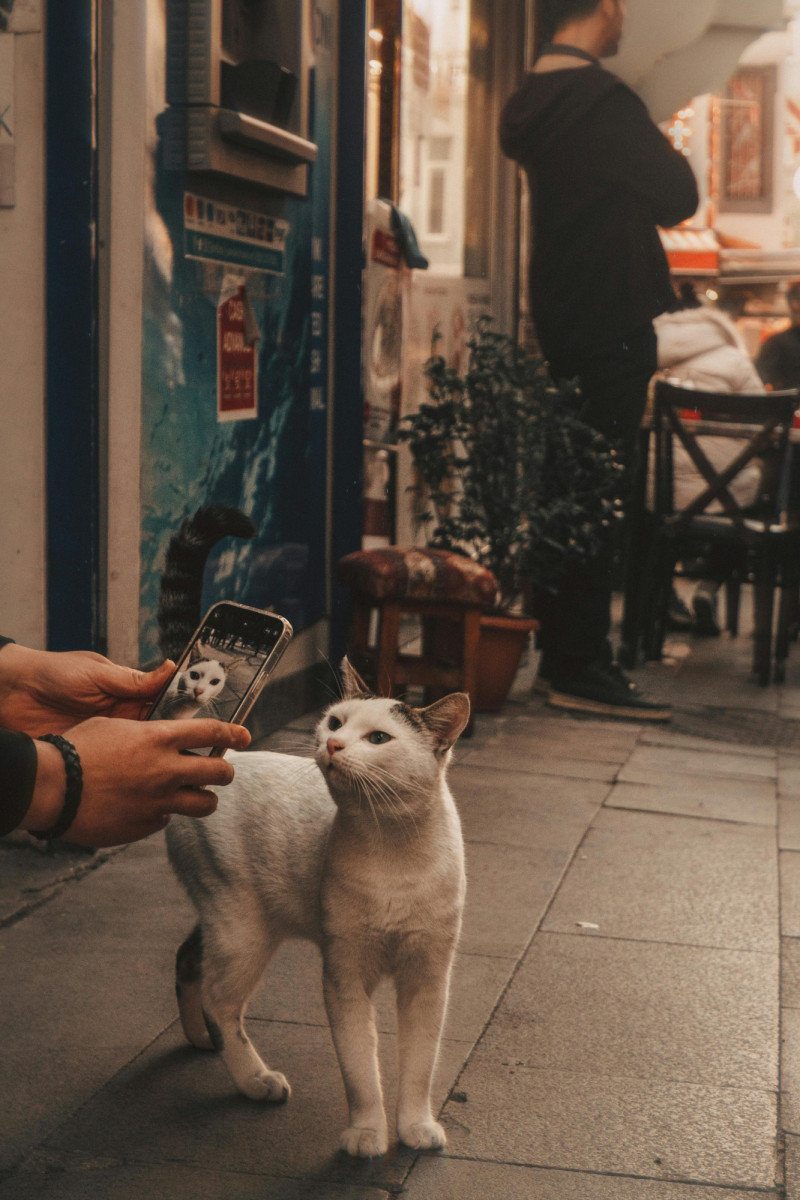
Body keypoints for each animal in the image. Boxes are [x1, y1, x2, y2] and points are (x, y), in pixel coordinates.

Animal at [167, 662, 470, 1156]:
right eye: (335, 722)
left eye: (379, 738)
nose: (332, 744)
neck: (391, 850)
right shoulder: (344, 976)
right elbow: (360, 1069)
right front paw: (367, 1134)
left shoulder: (428, 976)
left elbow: (420, 1064)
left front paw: (416, 1127)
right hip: (243, 928)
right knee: (219, 1000)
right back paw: (255, 1080)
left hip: (225, 921)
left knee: (189, 960)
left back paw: (200, 1040)